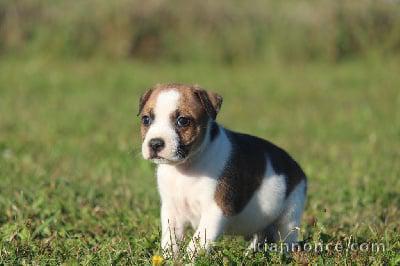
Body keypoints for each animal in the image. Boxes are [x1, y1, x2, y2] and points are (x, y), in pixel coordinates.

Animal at [139, 83, 308, 258]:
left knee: (286, 241)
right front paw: (169, 259)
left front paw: (188, 260)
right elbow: (170, 242)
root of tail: (297, 168)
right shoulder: (172, 212)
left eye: (183, 121)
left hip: (289, 217)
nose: (155, 143)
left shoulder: (215, 211)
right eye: (146, 119)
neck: (185, 167)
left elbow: (195, 244)